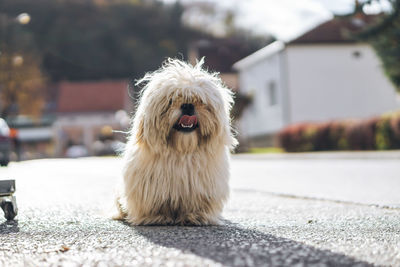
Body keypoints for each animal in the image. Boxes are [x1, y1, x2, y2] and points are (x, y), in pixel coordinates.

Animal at [114, 58, 236, 226]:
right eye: (171, 100)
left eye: (200, 101)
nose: (188, 106)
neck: (182, 152)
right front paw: (156, 216)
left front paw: (196, 216)